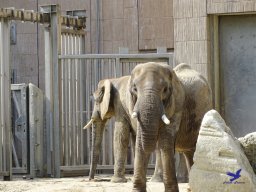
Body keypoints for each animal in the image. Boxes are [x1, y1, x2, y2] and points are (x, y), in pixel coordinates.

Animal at [84, 62, 212, 191]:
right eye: (135, 89)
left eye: (165, 90)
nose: (91, 179)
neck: (113, 80)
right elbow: (138, 140)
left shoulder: (176, 105)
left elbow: (161, 140)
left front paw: (117, 181)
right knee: (188, 152)